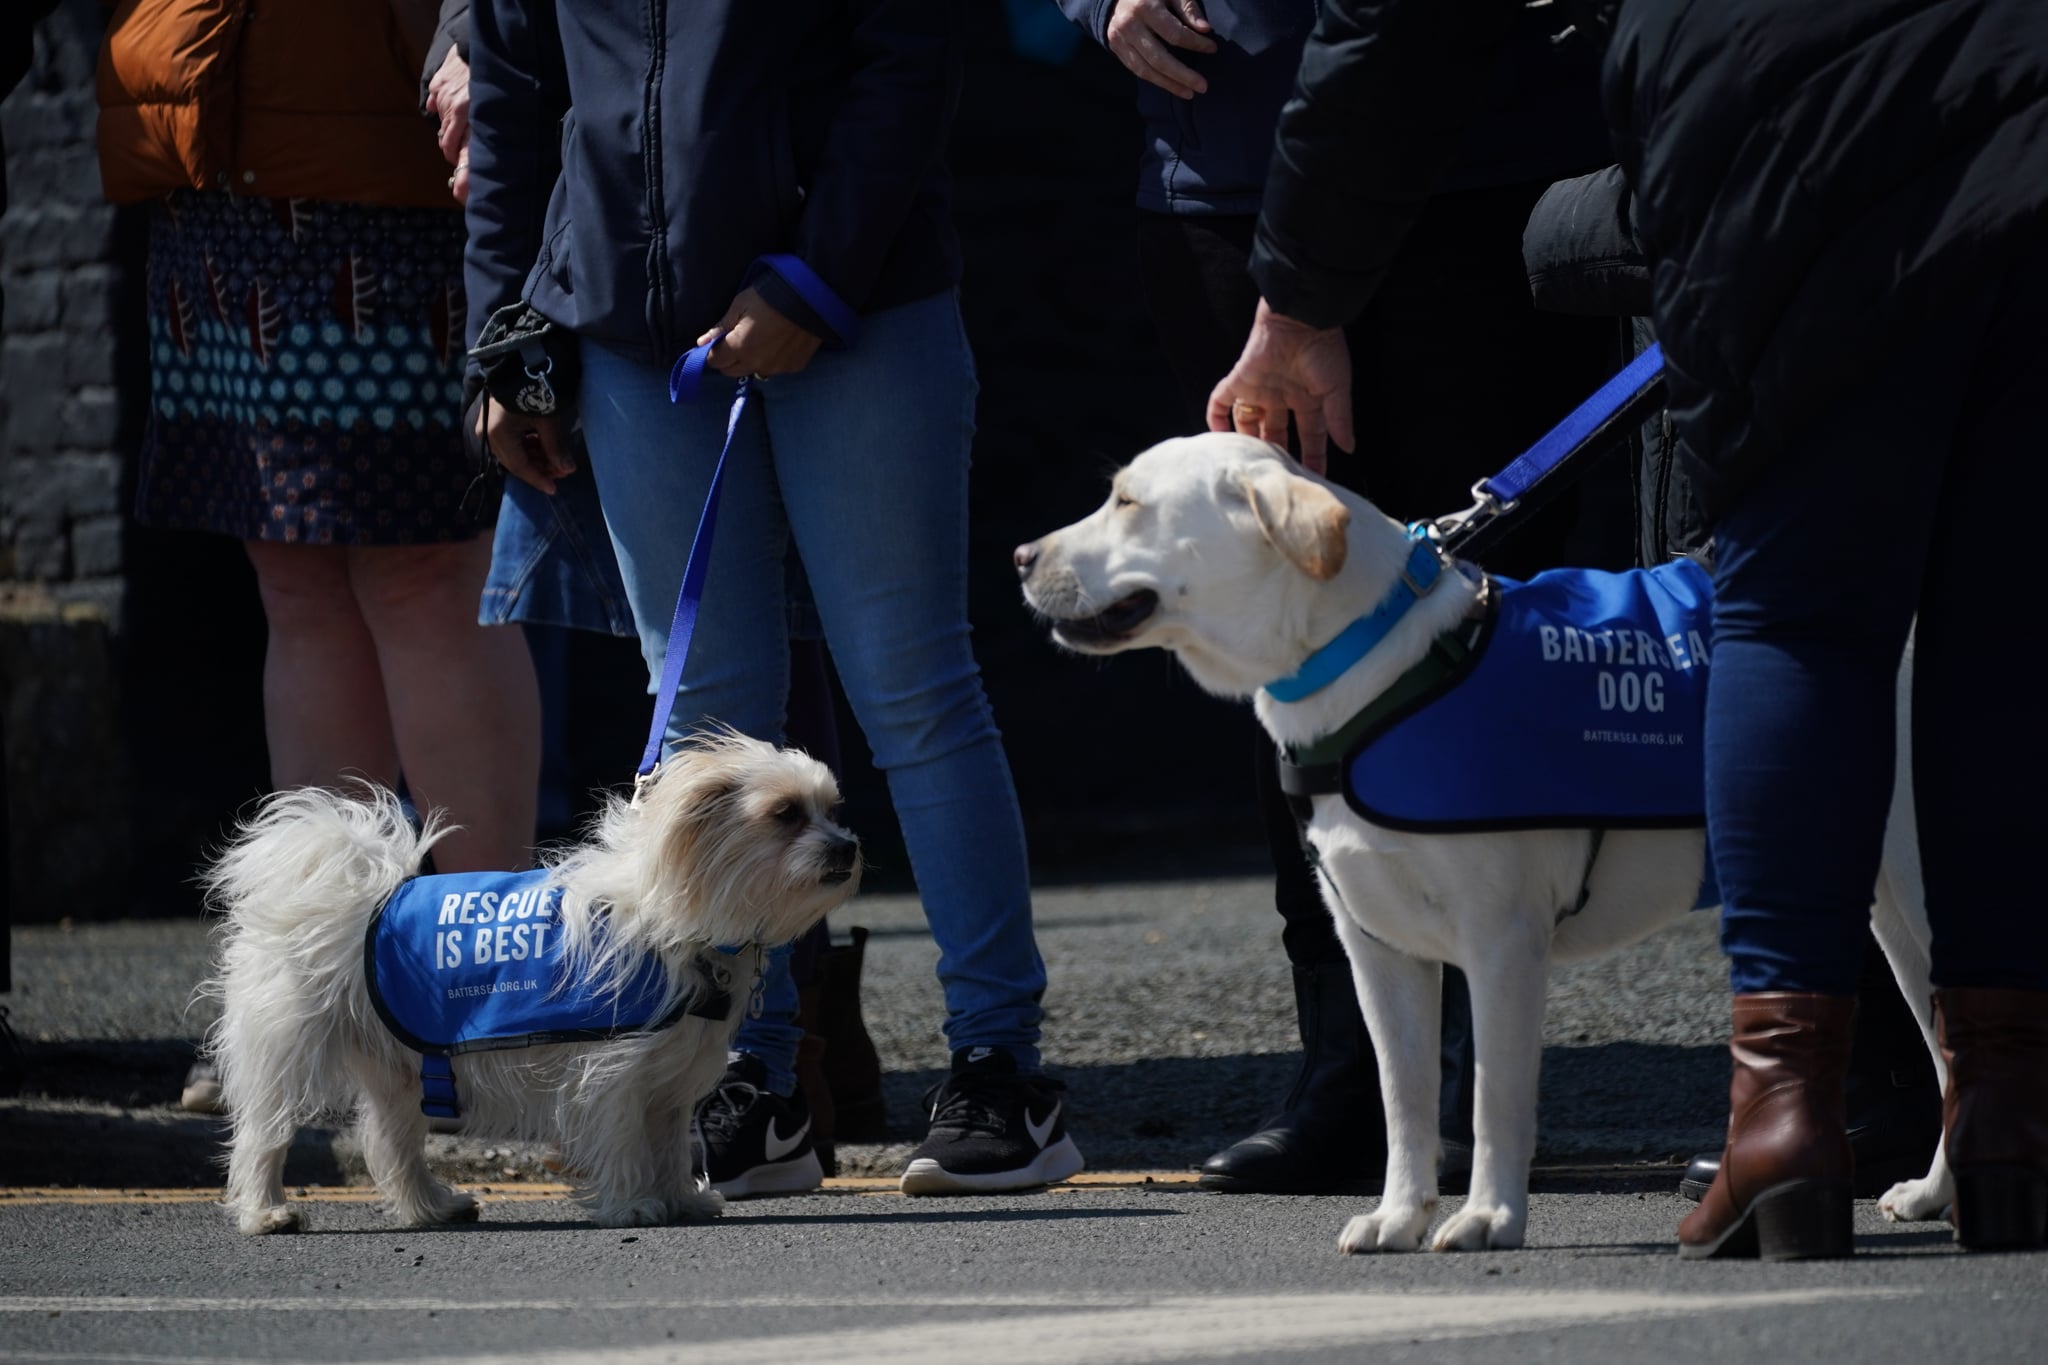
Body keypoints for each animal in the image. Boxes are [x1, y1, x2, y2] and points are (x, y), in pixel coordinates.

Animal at [199, 736, 856, 1236]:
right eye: (785, 814)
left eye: (833, 808)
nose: (849, 846)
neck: (677, 918)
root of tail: (345, 886)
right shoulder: (613, 1078)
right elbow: (622, 1141)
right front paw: (632, 1205)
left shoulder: (669, 1086)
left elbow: (669, 1147)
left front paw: (682, 1199)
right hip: (290, 1052)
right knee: (264, 1135)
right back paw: (265, 1213)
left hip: (399, 1070)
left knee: (390, 1145)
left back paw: (431, 1206)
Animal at [1024, 431, 1949, 1252]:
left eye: (1127, 501)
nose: (1020, 555)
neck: (1371, 666)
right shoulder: (1377, 945)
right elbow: (1403, 1099)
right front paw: (1400, 1216)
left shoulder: (1503, 942)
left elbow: (1493, 1098)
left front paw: (1489, 1218)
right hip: (1890, 913)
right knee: (1943, 1049)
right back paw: (1937, 1191)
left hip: (1920, 892)